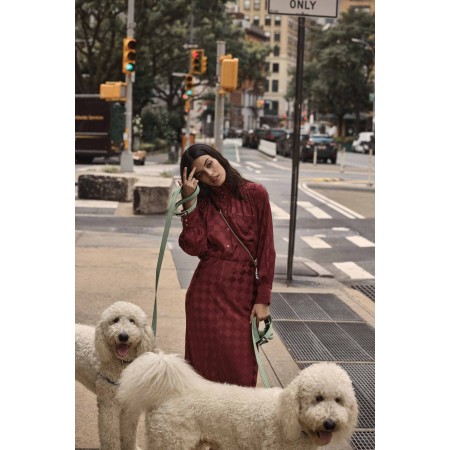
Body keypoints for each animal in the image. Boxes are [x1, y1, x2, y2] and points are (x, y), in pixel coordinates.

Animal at [76, 300, 156, 450]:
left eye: (132, 321)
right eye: (115, 320)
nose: (123, 336)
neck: (122, 364)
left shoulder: (130, 406)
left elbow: (129, 433)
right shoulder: (109, 404)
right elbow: (110, 435)